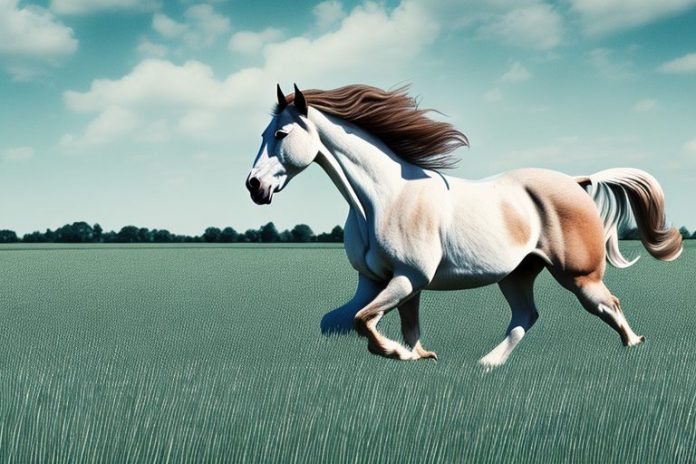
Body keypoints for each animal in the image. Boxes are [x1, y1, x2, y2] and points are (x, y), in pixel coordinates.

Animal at [245, 84, 682, 367]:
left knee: (608, 304)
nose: (254, 186)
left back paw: (634, 345)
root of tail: (577, 181)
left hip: (579, 275)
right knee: (526, 316)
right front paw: (417, 355)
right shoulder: (374, 281)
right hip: (517, 274)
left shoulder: (407, 277)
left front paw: (396, 353)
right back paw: (487, 364)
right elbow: (349, 321)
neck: (382, 199)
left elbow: (363, 321)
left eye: (281, 133)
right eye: (264, 133)